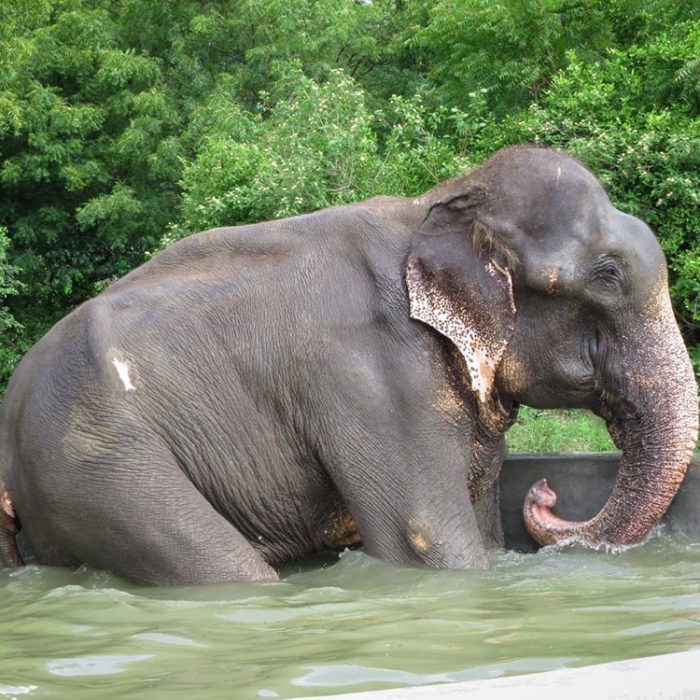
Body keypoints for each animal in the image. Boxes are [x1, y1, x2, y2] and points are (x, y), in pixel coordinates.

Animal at [0, 146, 697, 585]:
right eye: (607, 276)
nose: (546, 491)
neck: (436, 206)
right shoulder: (375, 381)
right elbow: (429, 541)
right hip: (95, 465)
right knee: (219, 567)